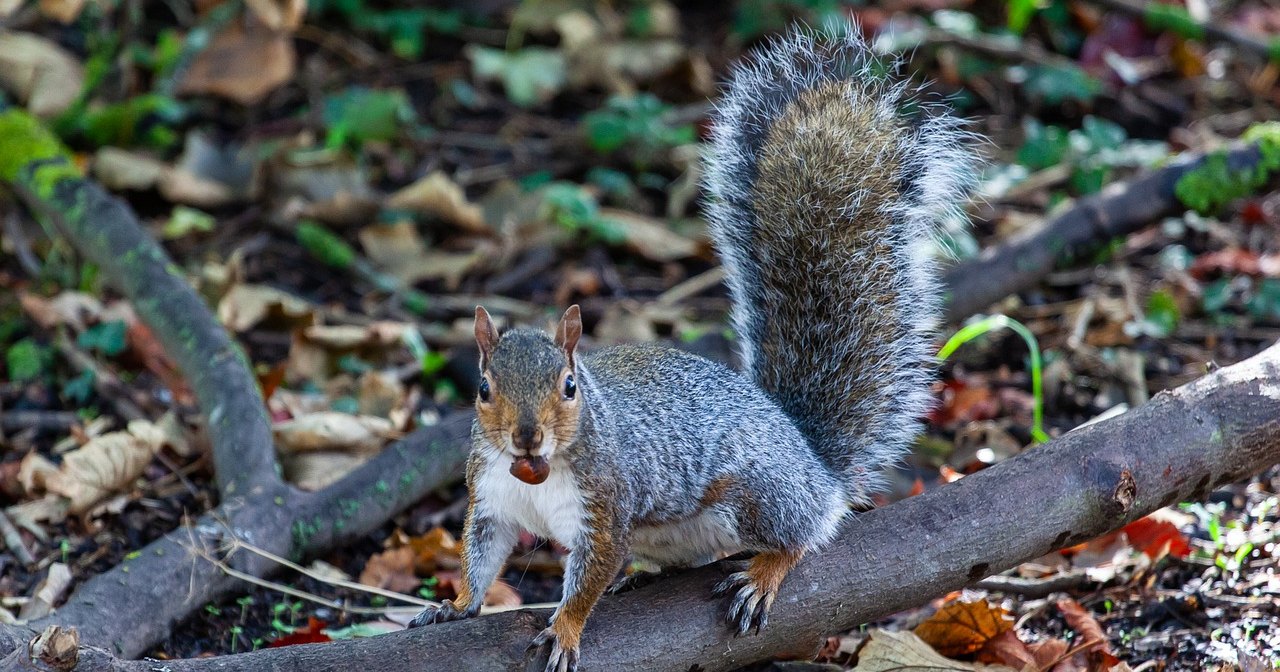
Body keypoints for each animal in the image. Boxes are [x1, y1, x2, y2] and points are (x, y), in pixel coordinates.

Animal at [409, 27, 977, 670]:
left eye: (569, 386)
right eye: (483, 389)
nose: (527, 437)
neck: (534, 472)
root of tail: (815, 466)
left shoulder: (607, 507)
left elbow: (589, 576)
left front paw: (567, 628)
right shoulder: (491, 500)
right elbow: (480, 558)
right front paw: (454, 605)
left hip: (757, 495)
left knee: (803, 534)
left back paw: (764, 571)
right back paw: (646, 577)